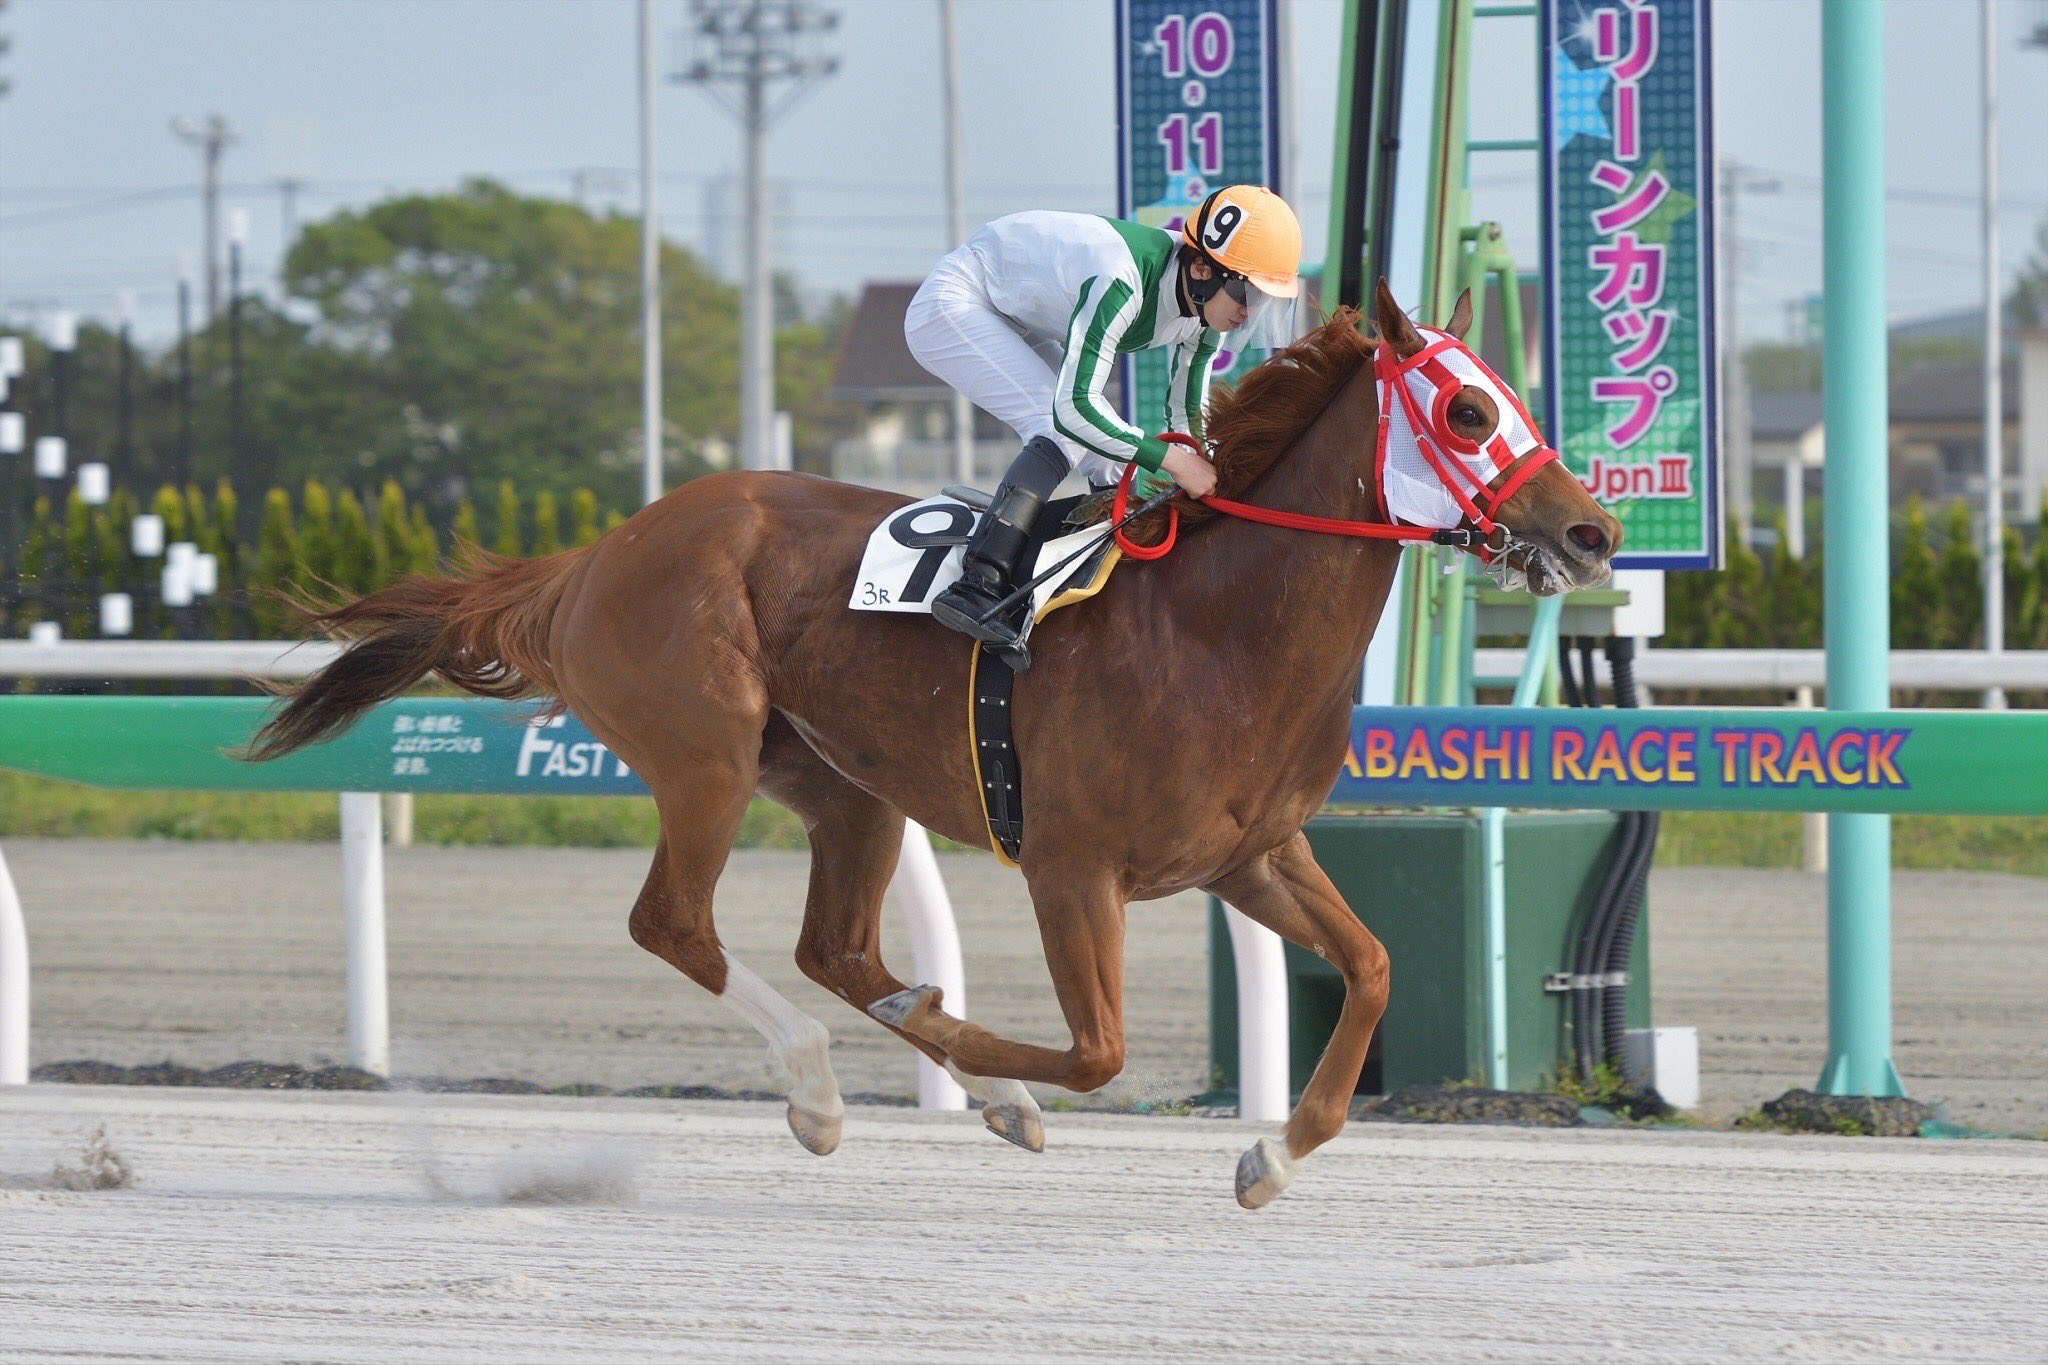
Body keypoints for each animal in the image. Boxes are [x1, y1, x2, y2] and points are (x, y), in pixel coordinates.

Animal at [249, 281, 1620, 1208]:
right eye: (1466, 408)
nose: (1593, 533)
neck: (1213, 630)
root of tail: (595, 553)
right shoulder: (1071, 866)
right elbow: (1098, 1050)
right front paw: (977, 1054)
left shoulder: (1249, 855)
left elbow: (1375, 967)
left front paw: (1270, 1156)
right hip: (704, 755)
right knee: (677, 926)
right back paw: (817, 1091)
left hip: (846, 785)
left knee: (834, 947)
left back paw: (945, 1077)